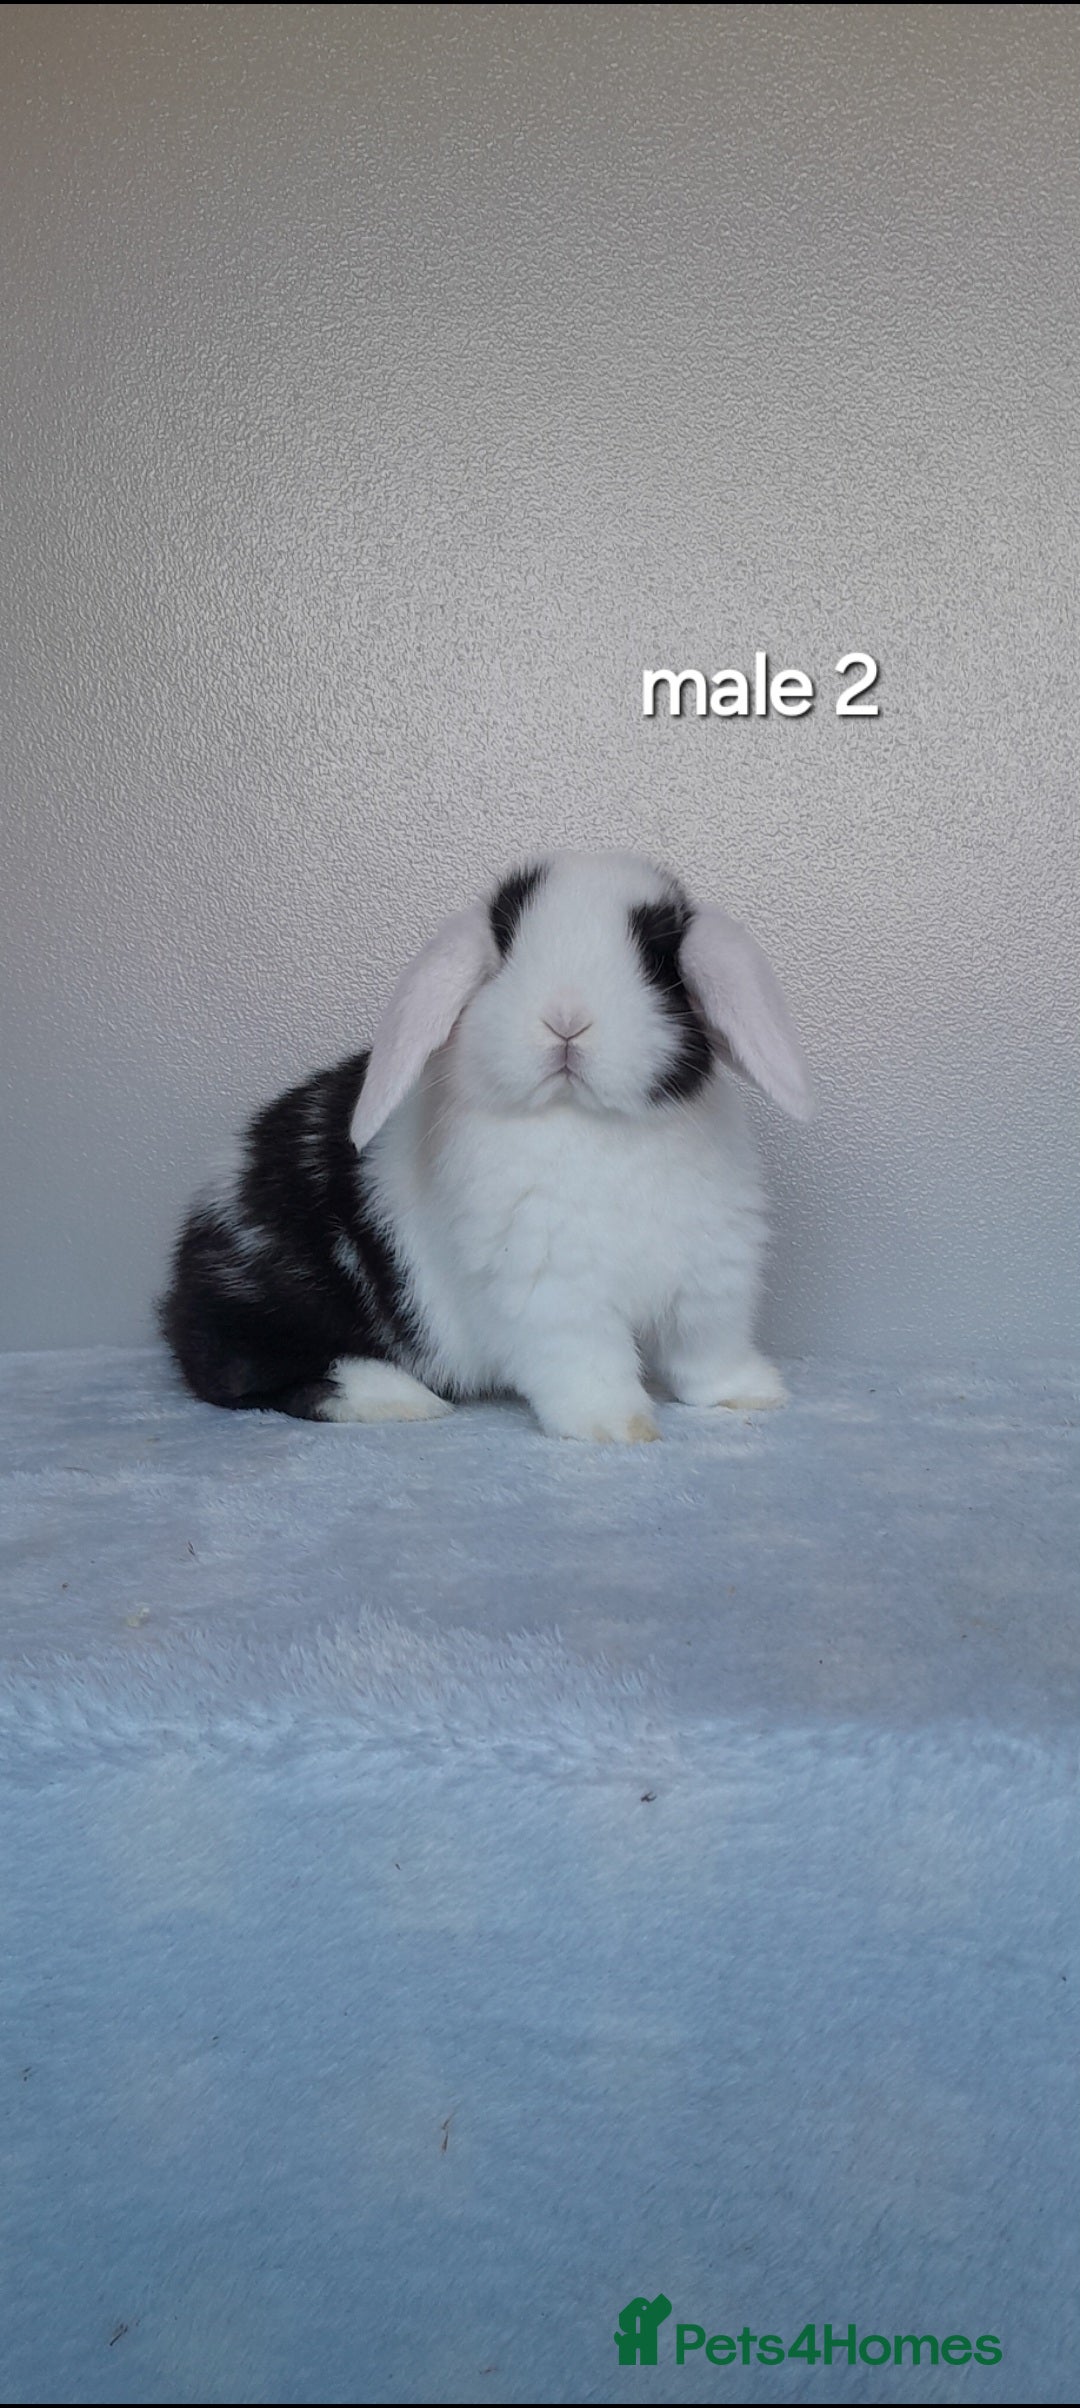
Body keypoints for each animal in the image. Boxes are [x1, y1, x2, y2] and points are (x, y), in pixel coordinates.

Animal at [159, 849, 812, 1441]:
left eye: (657, 961)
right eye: (505, 953)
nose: (566, 1018)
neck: (589, 1123)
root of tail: (182, 1280)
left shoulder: (710, 1280)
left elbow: (706, 1354)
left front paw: (751, 1394)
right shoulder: (551, 1292)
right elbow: (588, 1365)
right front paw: (616, 1427)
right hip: (279, 1303)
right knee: (249, 1373)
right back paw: (398, 1398)